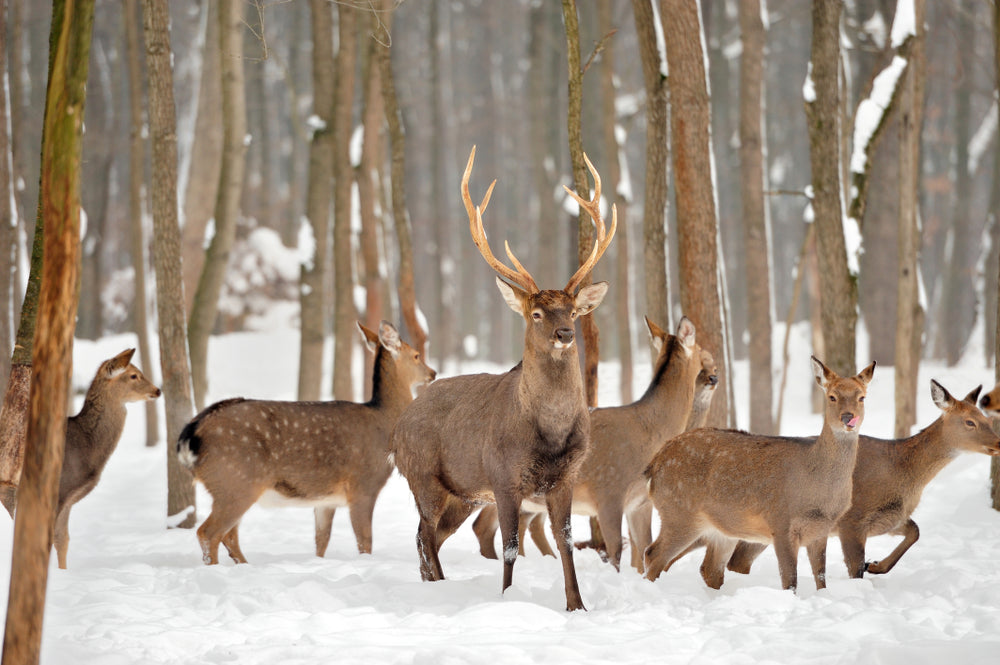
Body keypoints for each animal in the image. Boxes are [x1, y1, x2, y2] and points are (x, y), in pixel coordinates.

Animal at [178, 322, 436, 564]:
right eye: (416, 355)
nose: (432, 373)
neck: (383, 421)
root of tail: (191, 434)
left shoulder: (326, 499)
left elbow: (322, 539)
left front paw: (318, 562)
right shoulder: (364, 484)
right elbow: (365, 541)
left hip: (229, 485)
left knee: (229, 536)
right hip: (235, 479)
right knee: (209, 533)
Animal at [388, 147, 612, 612]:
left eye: (572, 311)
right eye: (537, 313)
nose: (565, 333)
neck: (549, 435)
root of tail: (397, 429)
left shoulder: (565, 477)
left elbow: (565, 542)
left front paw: (577, 605)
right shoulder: (503, 475)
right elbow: (509, 545)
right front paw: (507, 599)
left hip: (462, 493)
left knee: (426, 536)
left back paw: (434, 585)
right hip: (423, 477)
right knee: (425, 536)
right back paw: (439, 588)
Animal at [644, 358, 872, 592]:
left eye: (862, 397)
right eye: (832, 396)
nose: (848, 417)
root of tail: (655, 463)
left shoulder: (821, 530)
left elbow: (821, 578)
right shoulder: (781, 522)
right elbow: (790, 580)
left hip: (721, 529)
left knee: (710, 569)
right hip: (679, 512)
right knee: (653, 554)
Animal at [728, 382, 1000, 580]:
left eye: (987, 419)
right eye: (969, 422)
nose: (998, 443)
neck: (902, 474)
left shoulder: (888, 518)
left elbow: (915, 531)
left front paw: (876, 565)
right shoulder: (853, 518)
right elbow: (855, 568)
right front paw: (868, 570)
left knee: (738, 561)